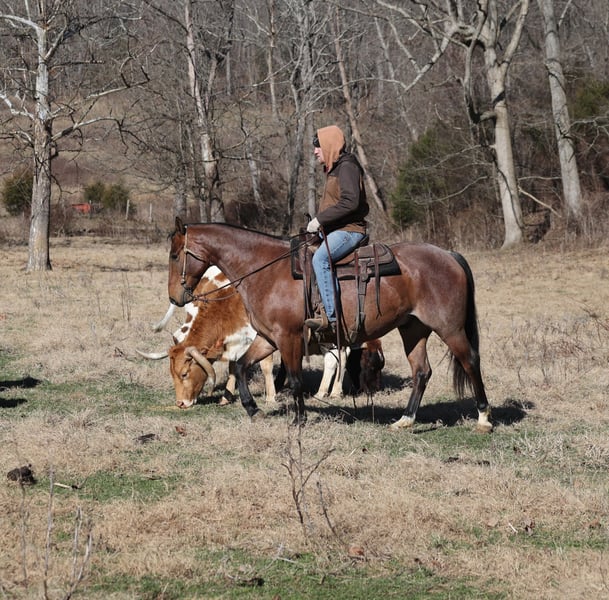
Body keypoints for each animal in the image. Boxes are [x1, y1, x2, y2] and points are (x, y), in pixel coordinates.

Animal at [167, 217, 492, 432]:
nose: (175, 297)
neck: (265, 270)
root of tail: (448, 255)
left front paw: (299, 419)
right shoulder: (267, 338)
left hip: (450, 329)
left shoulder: (289, 337)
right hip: (413, 329)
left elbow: (295, 379)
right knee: (422, 371)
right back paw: (405, 419)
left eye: (174, 254)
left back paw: (484, 418)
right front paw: (252, 409)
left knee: (470, 361)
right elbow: (240, 365)